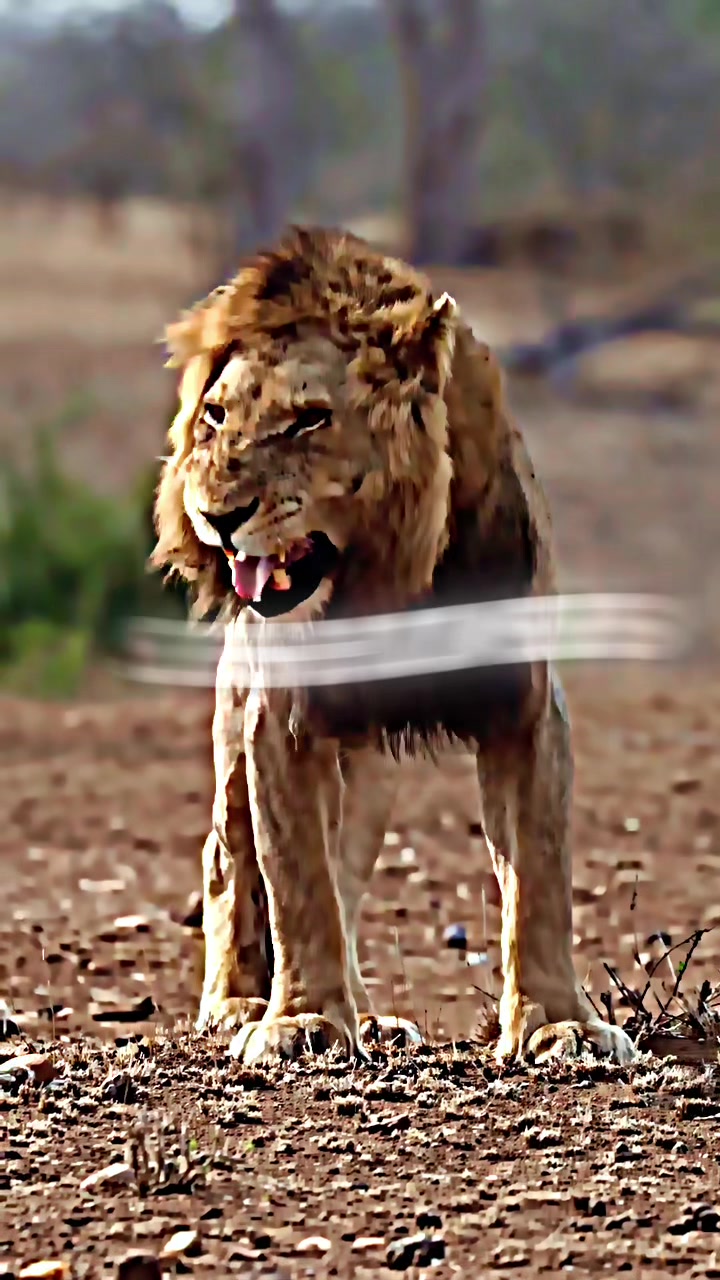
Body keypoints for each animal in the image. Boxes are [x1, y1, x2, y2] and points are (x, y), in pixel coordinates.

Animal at [151, 225, 634, 1067]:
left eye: (309, 420)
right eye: (214, 415)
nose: (216, 516)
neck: (385, 579)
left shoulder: (525, 704)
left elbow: (539, 873)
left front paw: (558, 1022)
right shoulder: (279, 716)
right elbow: (295, 877)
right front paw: (299, 1022)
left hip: (368, 773)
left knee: (345, 874)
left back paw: (371, 1017)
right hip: (239, 731)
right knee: (230, 859)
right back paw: (238, 1004)